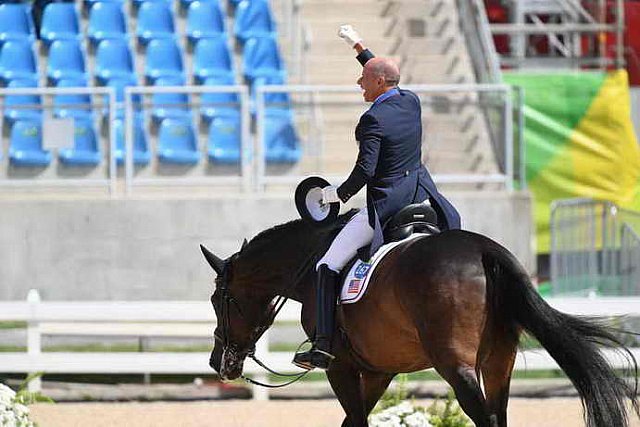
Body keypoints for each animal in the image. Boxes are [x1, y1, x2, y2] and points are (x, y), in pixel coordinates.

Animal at [201, 211, 640, 427]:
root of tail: (483, 249)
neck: (310, 264)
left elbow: (354, 421)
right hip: (501, 361)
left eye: (217, 299)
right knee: (498, 416)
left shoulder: (340, 366)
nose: (217, 363)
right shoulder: (379, 370)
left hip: (457, 366)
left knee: (483, 416)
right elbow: (352, 420)